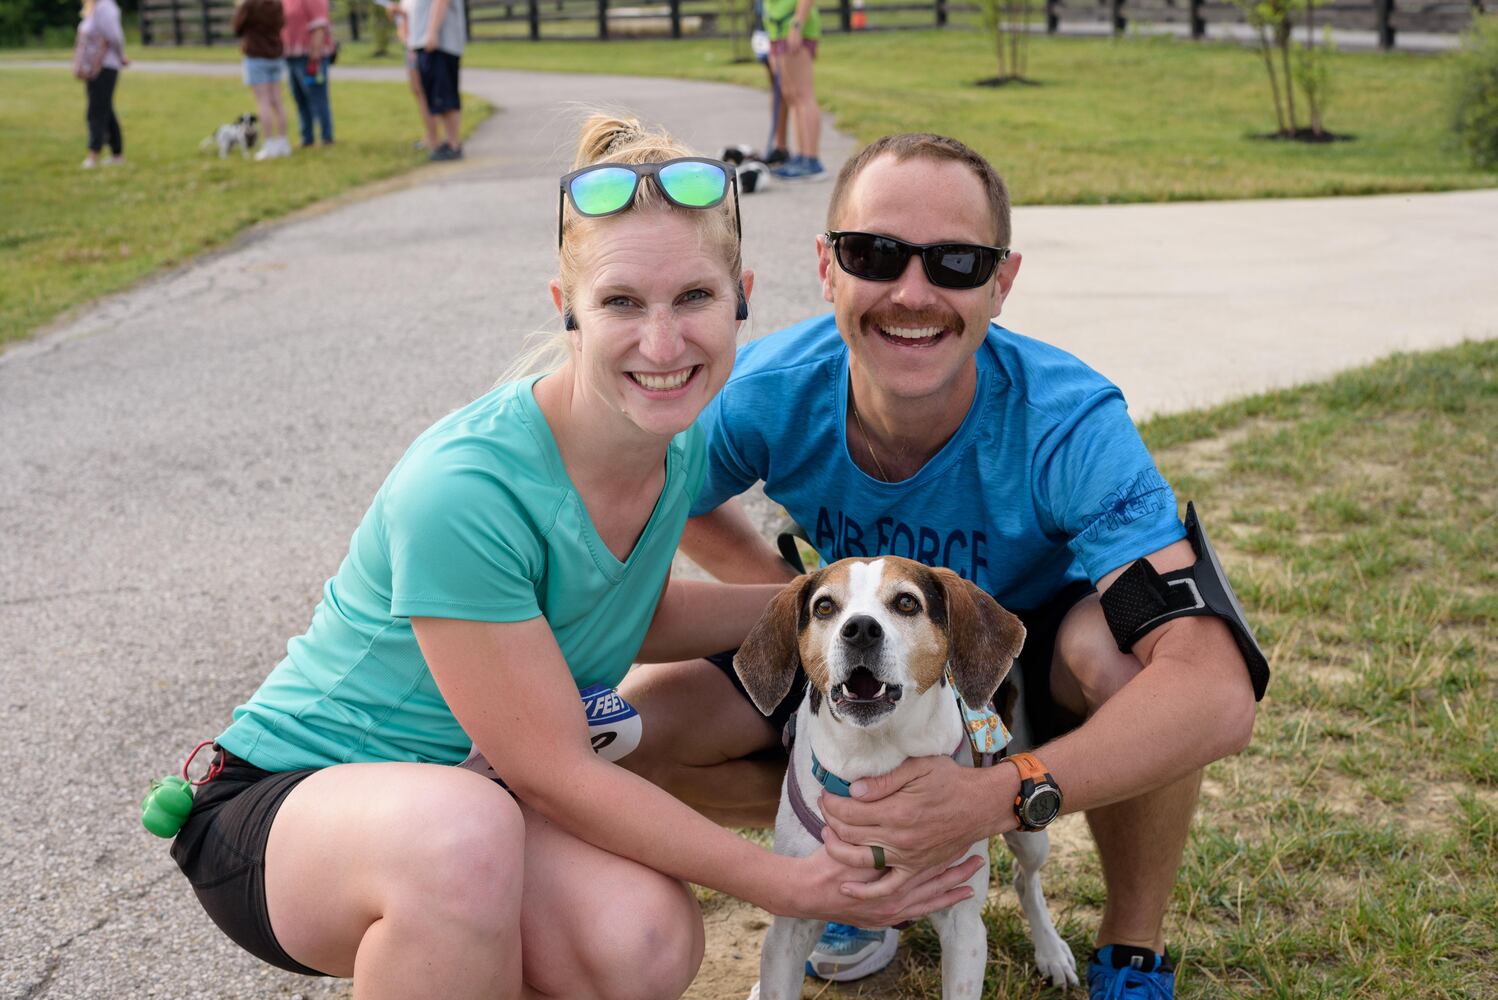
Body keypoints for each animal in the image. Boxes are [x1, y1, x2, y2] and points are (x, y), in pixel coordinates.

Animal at [734, 559, 1078, 994]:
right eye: (825, 606)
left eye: (906, 602)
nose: (860, 629)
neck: (873, 755)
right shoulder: (790, 925)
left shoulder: (964, 928)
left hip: (1027, 820)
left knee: (1026, 879)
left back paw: (1051, 950)